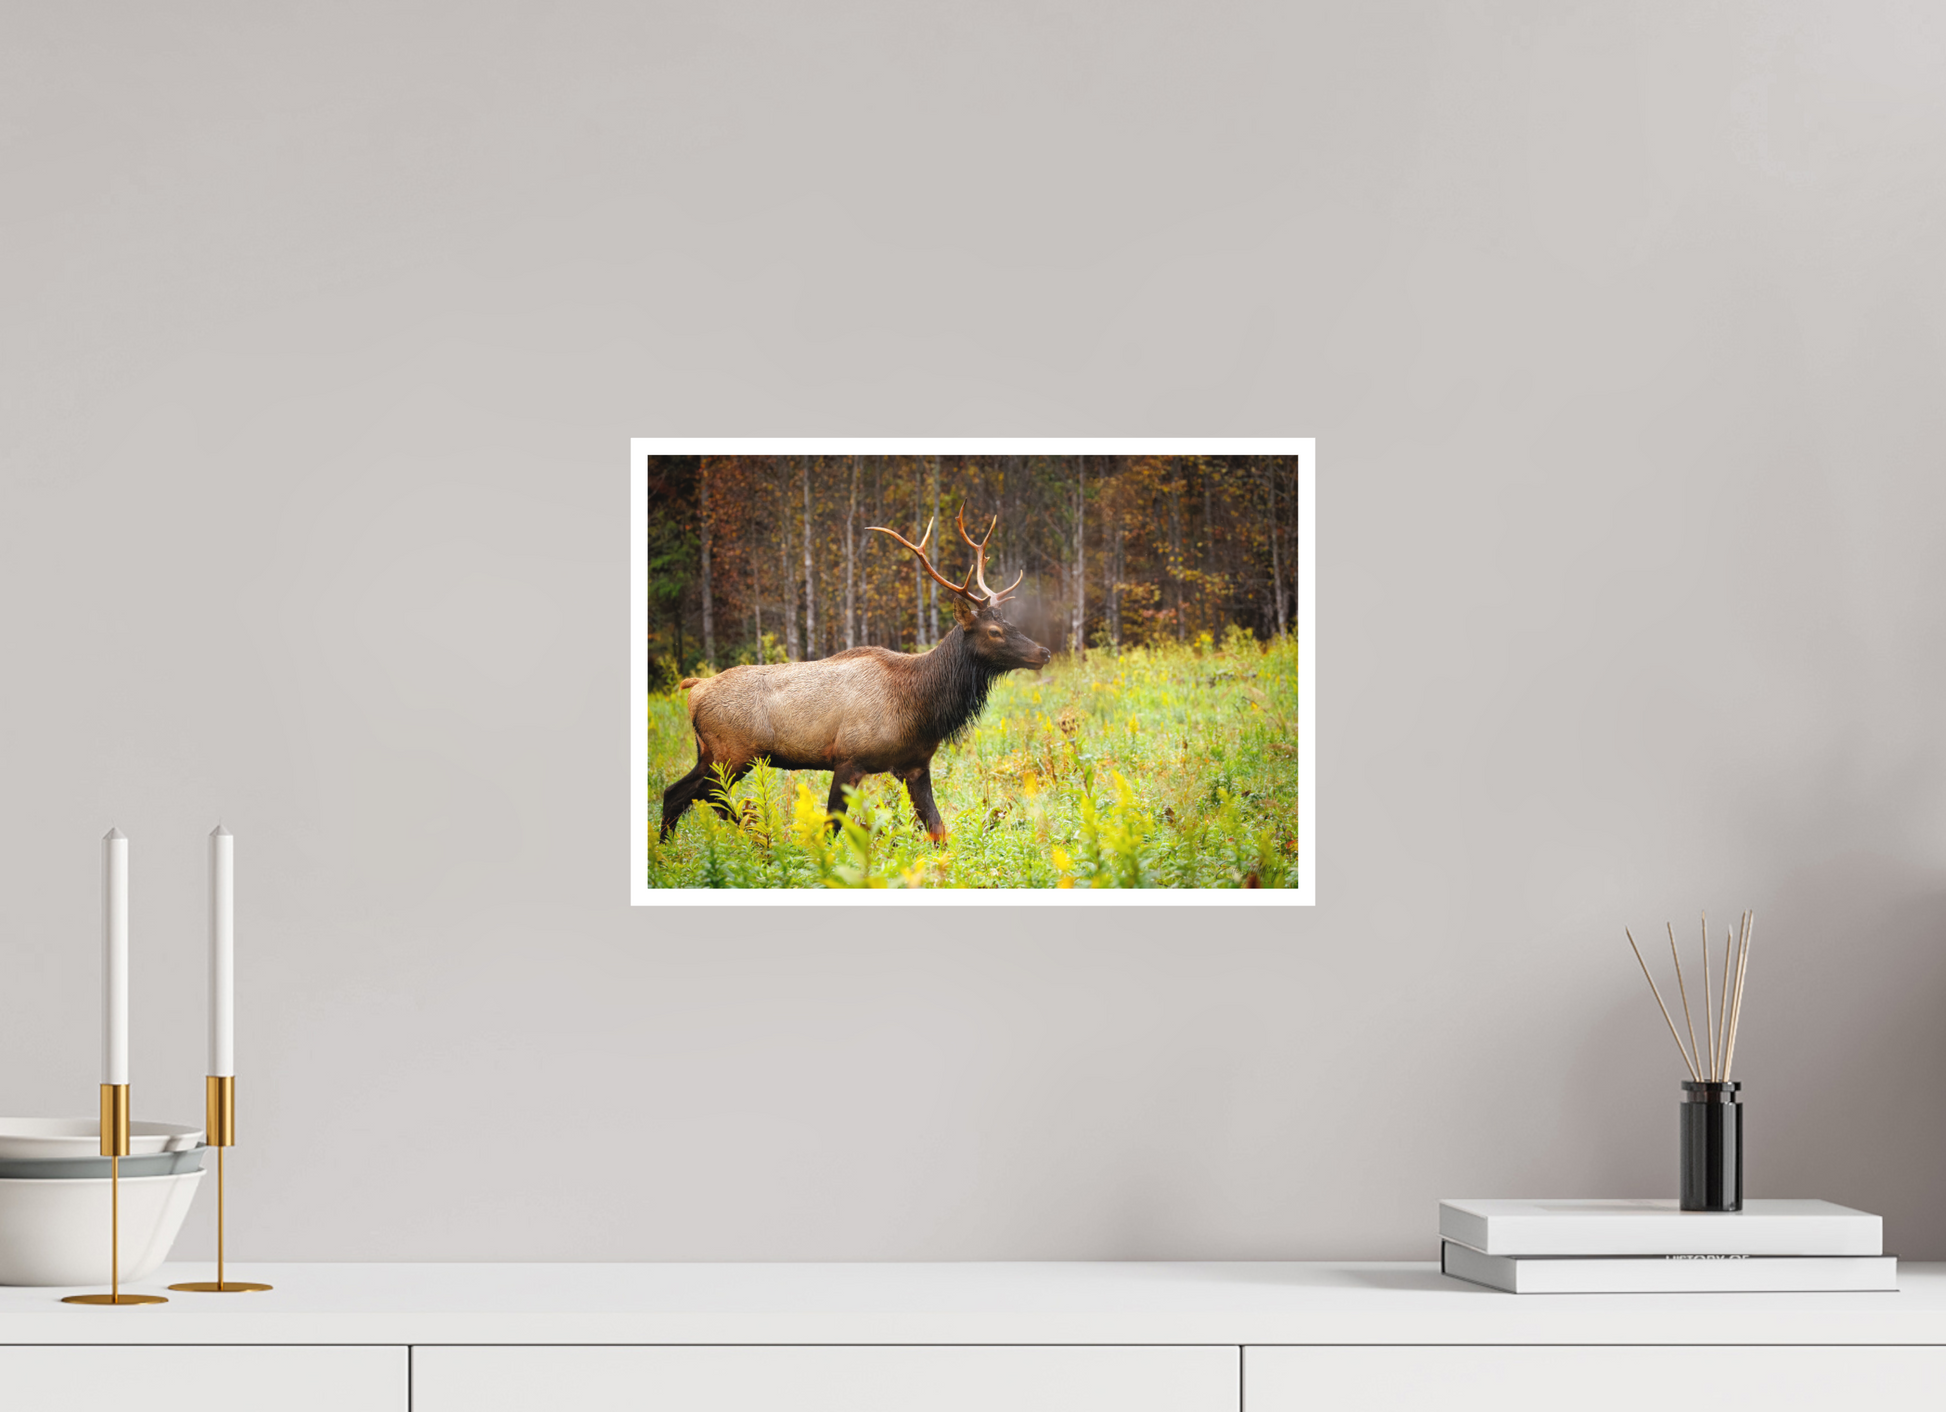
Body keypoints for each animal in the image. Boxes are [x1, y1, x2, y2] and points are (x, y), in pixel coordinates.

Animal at [661, 506, 1053, 844]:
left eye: (1010, 623)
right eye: (994, 631)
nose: (1043, 652)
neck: (922, 706)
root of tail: (694, 689)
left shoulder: (915, 765)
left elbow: (938, 829)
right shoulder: (848, 758)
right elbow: (832, 827)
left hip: (710, 753)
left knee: (678, 793)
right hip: (732, 753)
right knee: (702, 795)